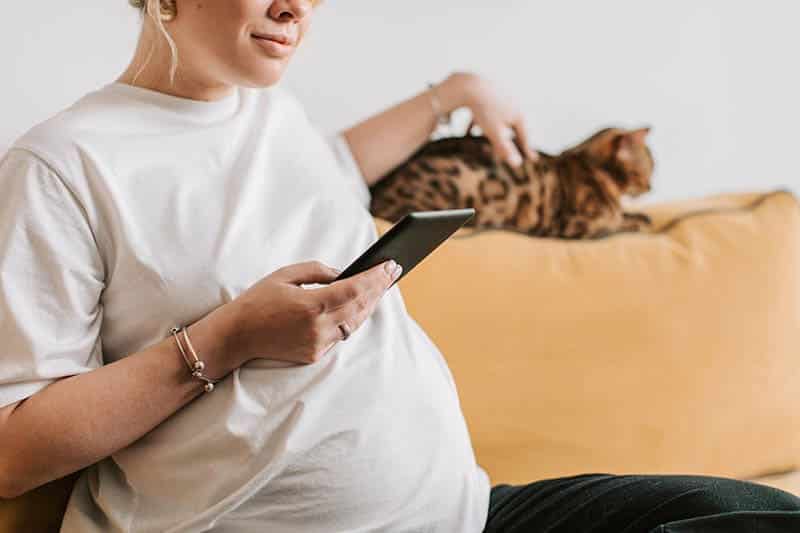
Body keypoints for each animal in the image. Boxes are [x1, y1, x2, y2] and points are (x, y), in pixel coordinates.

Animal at [368, 122, 656, 239]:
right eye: (651, 165)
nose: (651, 186)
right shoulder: (576, 224)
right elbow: (618, 223)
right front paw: (639, 222)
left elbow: (629, 215)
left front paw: (644, 217)